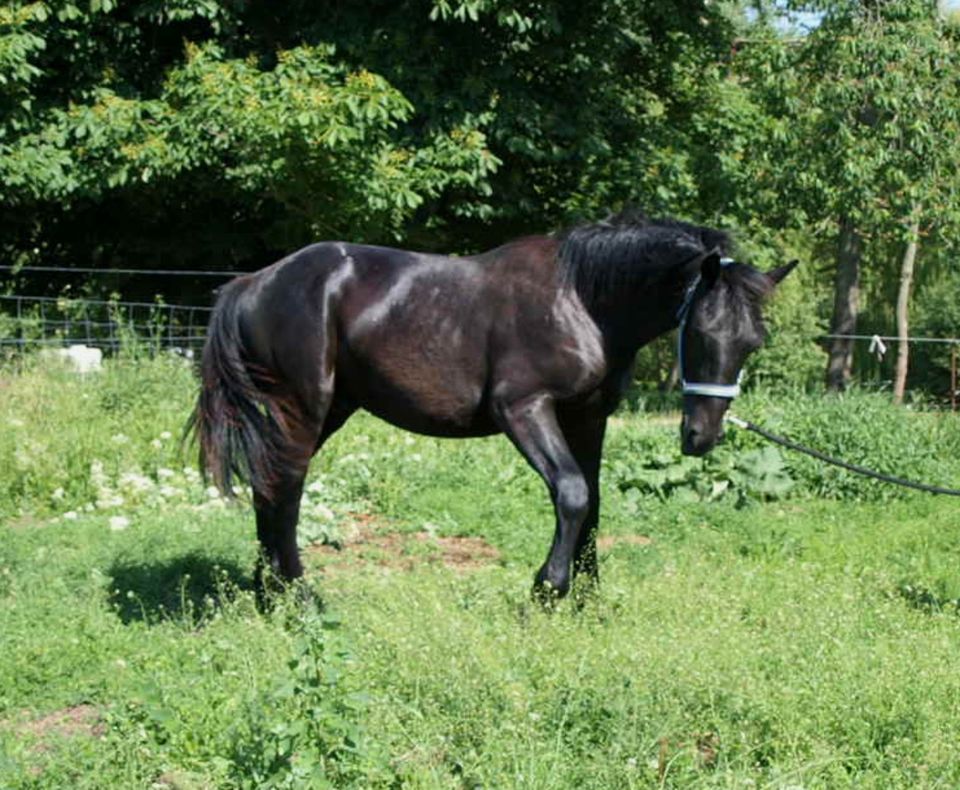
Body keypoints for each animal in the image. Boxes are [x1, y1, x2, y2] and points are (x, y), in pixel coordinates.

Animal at [193, 213, 796, 596]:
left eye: (752, 342)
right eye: (703, 332)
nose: (701, 437)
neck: (580, 300)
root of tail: (254, 282)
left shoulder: (587, 417)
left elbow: (595, 500)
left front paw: (588, 597)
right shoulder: (524, 410)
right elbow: (572, 493)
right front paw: (549, 588)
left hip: (329, 410)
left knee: (270, 486)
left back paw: (267, 591)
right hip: (304, 407)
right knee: (286, 487)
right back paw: (297, 593)